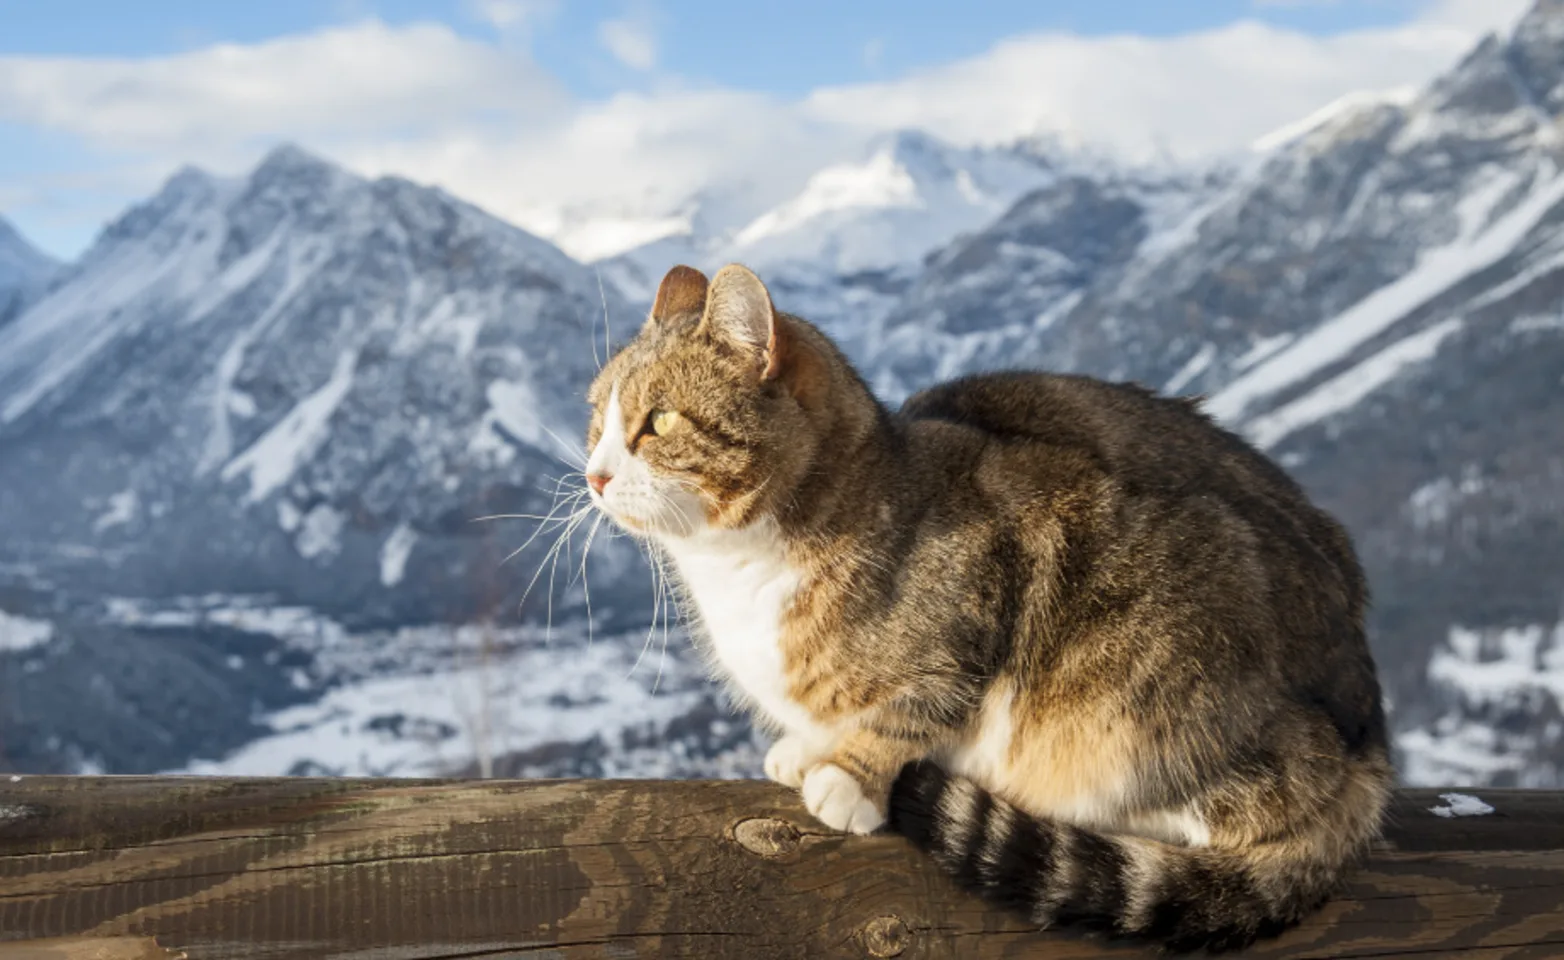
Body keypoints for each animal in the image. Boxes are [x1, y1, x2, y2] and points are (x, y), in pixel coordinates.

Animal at [581, 262, 1388, 956]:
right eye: (598, 418)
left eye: (658, 422)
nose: (592, 474)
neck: (742, 572)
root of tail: (1367, 742)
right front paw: (809, 747)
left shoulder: (1007, 560)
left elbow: (918, 707)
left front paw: (850, 774)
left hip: (1156, 671)